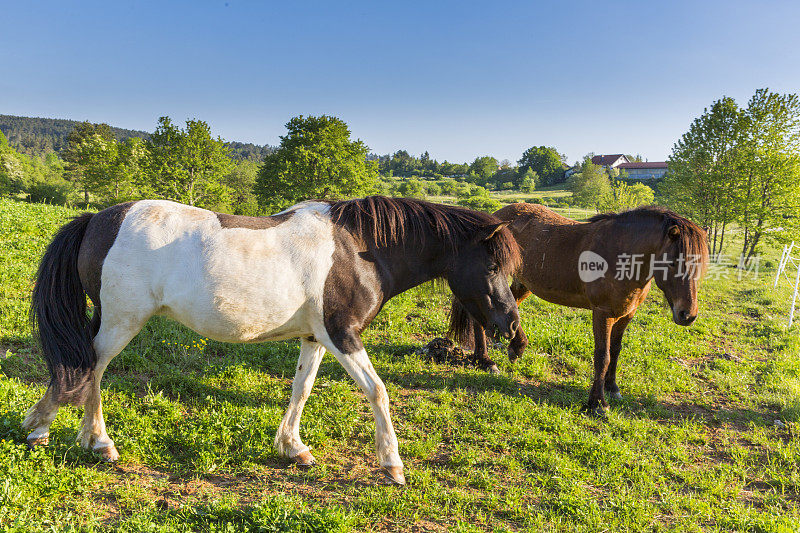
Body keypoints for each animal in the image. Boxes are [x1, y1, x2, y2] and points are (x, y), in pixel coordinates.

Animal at [23, 195, 520, 482]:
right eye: (493, 264)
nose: (512, 328)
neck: (360, 250)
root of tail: (97, 220)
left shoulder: (316, 338)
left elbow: (301, 389)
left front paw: (293, 448)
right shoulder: (342, 334)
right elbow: (378, 391)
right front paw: (392, 464)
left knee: (85, 370)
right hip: (121, 321)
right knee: (90, 369)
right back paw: (78, 437)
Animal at [450, 202, 708, 414]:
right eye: (672, 262)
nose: (687, 315)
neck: (621, 254)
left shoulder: (626, 315)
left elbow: (616, 351)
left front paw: (612, 388)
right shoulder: (602, 314)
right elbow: (602, 356)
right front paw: (597, 403)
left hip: (523, 283)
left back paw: (516, 346)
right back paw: (485, 360)